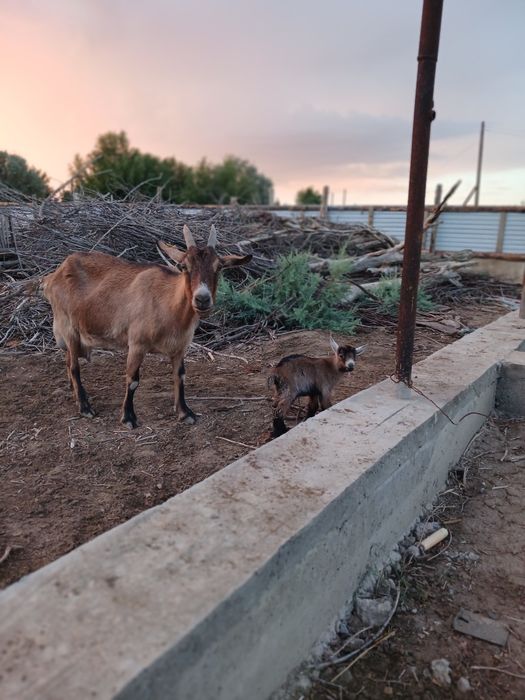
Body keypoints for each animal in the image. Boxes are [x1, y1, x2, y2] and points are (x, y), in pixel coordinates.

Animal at [42, 225, 251, 428]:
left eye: (219, 267)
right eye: (184, 266)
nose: (202, 299)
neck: (169, 305)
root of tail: (54, 275)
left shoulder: (180, 347)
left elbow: (180, 376)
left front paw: (185, 413)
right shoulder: (137, 344)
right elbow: (133, 380)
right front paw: (128, 418)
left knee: (68, 361)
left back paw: (76, 394)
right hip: (68, 327)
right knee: (74, 366)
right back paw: (85, 407)